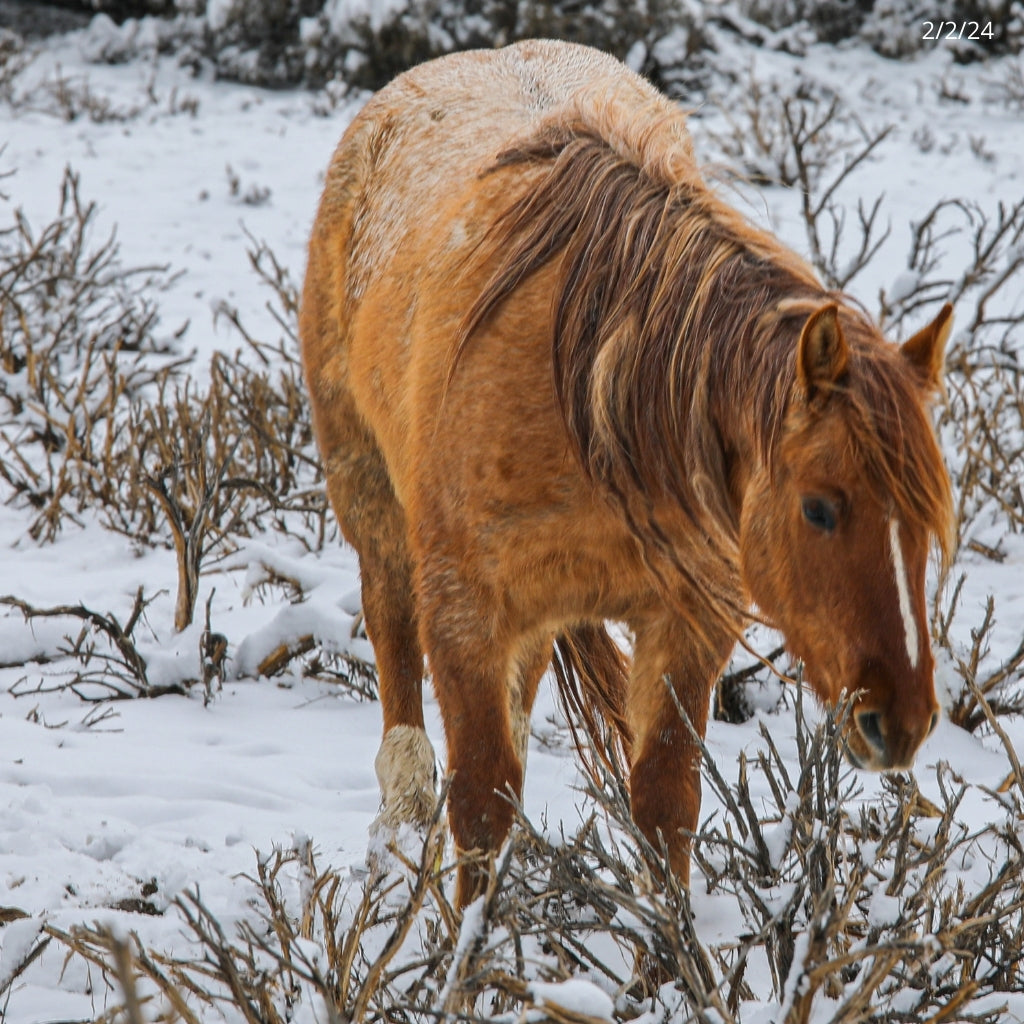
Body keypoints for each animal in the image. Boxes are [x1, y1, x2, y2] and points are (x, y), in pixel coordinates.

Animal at [299, 36, 954, 909]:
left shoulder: (687, 621)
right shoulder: (464, 615)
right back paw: (398, 838)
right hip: (370, 499)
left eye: (926, 526)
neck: (597, 399)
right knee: (395, 654)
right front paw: (467, 949)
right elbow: (478, 803)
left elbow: (663, 802)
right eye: (820, 508)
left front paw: (669, 949)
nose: (901, 720)